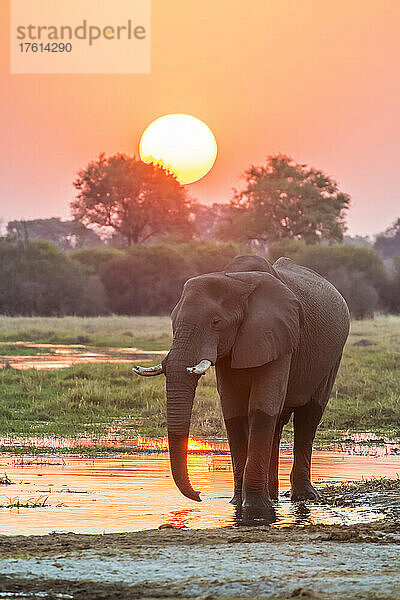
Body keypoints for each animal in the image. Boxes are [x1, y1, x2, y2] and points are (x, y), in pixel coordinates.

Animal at [133, 254, 348, 520]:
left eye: (216, 322)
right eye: (173, 322)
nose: (199, 495)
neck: (236, 280)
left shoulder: (278, 335)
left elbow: (261, 409)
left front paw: (255, 508)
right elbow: (233, 412)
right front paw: (237, 504)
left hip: (332, 356)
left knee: (308, 417)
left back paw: (302, 498)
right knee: (277, 422)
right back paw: (273, 497)